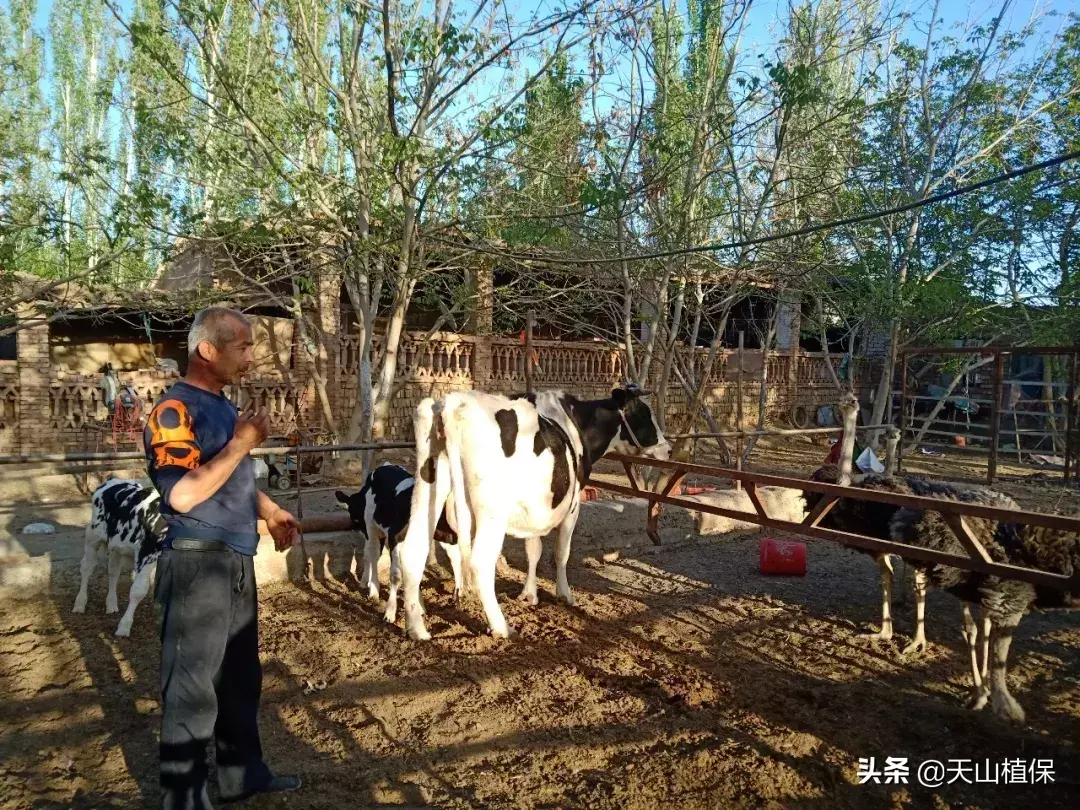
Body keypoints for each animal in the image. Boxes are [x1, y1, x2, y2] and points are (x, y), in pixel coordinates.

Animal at [71, 479, 165, 639]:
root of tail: (113, 481)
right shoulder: (147, 553)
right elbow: (138, 590)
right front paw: (124, 627)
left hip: (117, 546)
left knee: (113, 571)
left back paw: (111, 605)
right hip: (93, 536)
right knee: (87, 567)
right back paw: (80, 603)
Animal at [332, 462, 460, 622]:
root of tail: (385, 466)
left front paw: (418, 607)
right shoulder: (394, 537)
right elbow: (396, 574)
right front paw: (390, 612)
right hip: (373, 528)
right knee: (372, 555)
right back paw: (373, 590)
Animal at [393, 384, 669, 643]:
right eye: (643, 413)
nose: (667, 449)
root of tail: (453, 402)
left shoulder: (535, 508)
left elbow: (533, 550)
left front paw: (529, 594)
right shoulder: (572, 506)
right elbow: (561, 552)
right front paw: (565, 594)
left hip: (429, 490)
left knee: (412, 550)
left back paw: (416, 628)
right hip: (491, 512)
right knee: (480, 561)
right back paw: (501, 627)